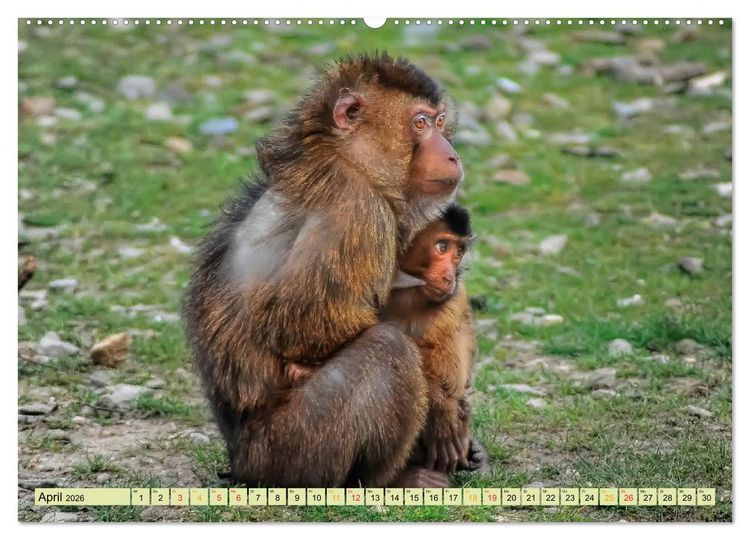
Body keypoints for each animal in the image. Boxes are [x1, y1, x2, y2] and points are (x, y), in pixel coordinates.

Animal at [183, 53, 464, 489]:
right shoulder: (356, 209)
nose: (451, 153)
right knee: (388, 348)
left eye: (439, 121)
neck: (348, 159)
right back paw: (388, 480)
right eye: (420, 123)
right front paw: (439, 403)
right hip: (289, 451)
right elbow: (301, 324)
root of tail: (240, 461)